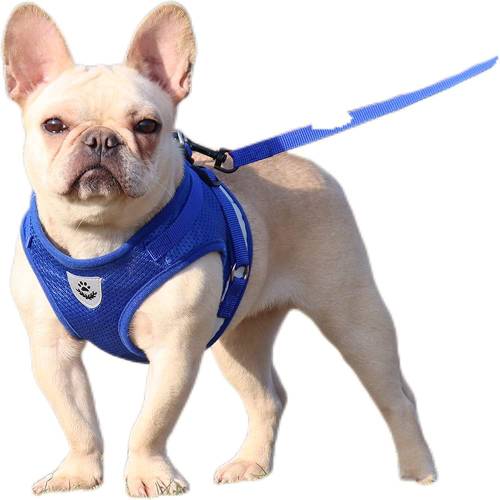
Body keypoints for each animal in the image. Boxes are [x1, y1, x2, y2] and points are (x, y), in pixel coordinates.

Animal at [4, 3, 436, 496]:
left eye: (147, 126)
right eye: (54, 126)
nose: (100, 139)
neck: (100, 236)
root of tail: (305, 164)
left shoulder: (174, 351)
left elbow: (151, 421)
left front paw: (150, 474)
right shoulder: (51, 351)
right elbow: (76, 419)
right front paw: (77, 473)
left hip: (354, 318)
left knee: (396, 396)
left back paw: (418, 468)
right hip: (238, 339)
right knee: (267, 397)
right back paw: (251, 464)